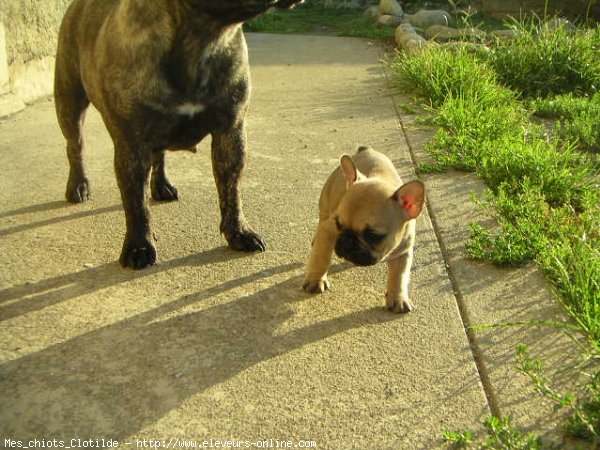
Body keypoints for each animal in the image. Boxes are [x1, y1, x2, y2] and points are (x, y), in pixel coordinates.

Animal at [54, 0, 302, 268]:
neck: (202, 36)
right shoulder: (131, 144)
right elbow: (136, 201)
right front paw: (139, 246)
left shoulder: (230, 132)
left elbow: (231, 190)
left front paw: (239, 232)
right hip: (69, 102)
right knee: (75, 146)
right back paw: (78, 185)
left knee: (159, 154)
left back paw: (161, 185)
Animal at [302, 147, 424, 312]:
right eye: (338, 224)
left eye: (373, 235)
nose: (346, 241)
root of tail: (367, 149)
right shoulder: (328, 229)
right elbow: (321, 256)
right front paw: (316, 280)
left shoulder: (403, 252)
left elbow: (400, 276)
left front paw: (398, 298)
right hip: (325, 205)